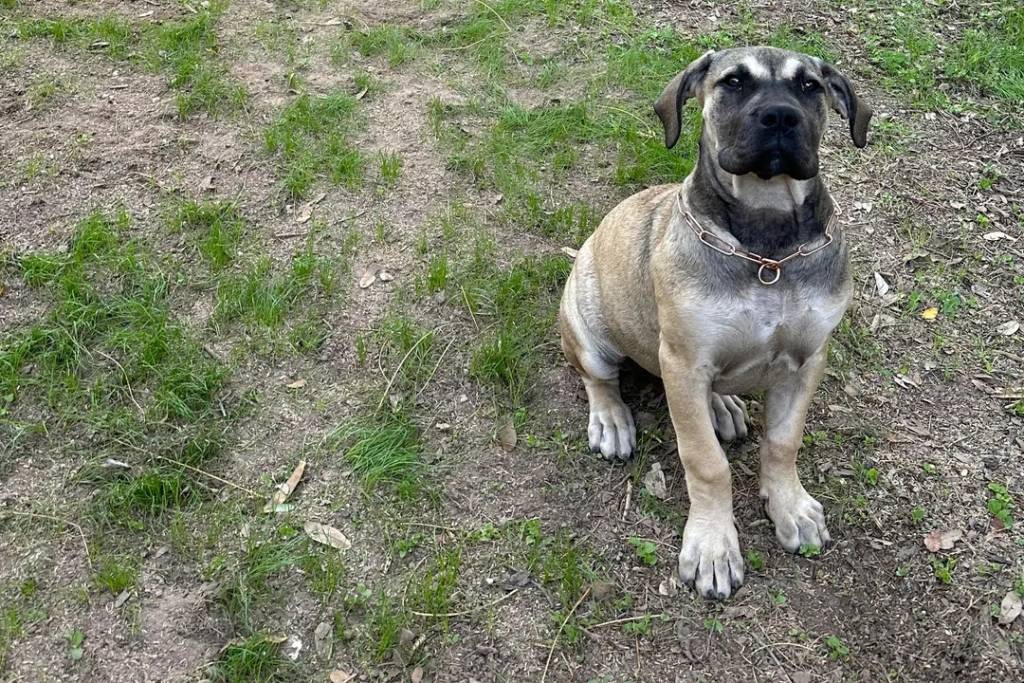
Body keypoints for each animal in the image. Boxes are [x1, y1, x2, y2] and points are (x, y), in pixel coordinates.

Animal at [559, 46, 871, 599]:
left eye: (810, 86)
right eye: (734, 82)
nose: (780, 117)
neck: (768, 251)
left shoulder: (808, 359)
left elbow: (783, 442)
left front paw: (790, 506)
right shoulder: (684, 361)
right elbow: (705, 463)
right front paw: (712, 546)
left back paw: (723, 406)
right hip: (589, 325)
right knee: (598, 377)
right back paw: (612, 419)